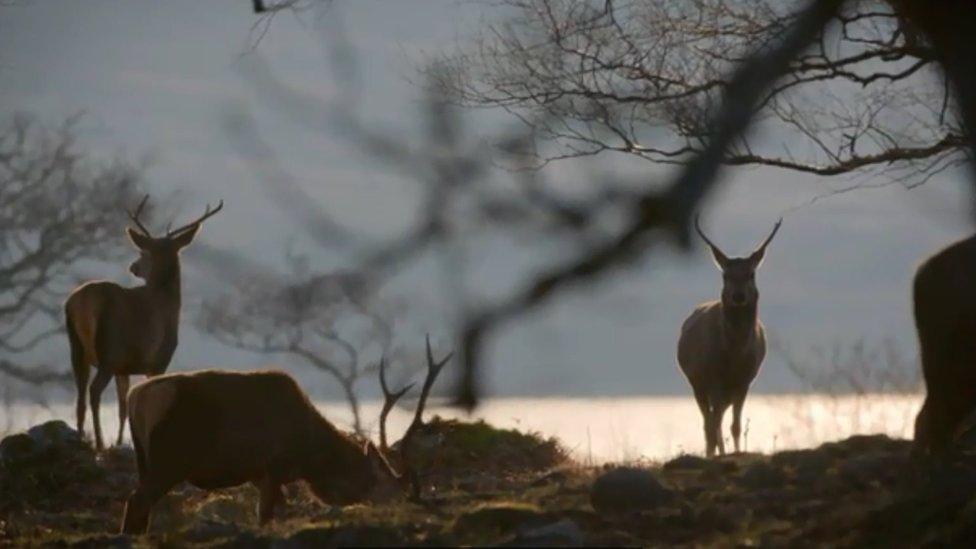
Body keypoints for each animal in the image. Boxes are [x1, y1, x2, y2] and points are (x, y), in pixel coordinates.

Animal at [66, 196, 222, 450]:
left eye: (144, 252)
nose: (133, 267)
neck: (168, 305)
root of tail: (83, 301)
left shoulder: (124, 367)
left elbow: (123, 407)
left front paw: (121, 442)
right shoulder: (159, 359)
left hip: (78, 347)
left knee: (80, 395)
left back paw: (81, 439)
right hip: (110, 348)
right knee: (94, 390)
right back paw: (99, 443)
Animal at [122, 334, 454, 532]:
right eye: (391, 490)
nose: (408, 510)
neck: (312, 455)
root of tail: (136, 397)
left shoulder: (260, 474)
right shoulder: (273, 466)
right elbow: (265, 517)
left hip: (143, 459)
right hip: (171, 460)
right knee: (137, 500)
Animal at [676, 216, 780, 456]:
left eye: (751, 274)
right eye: (725, 275)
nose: (738, 296)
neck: (734, 355)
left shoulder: (745, 381)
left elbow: (735, 425)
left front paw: (735, 452)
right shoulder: (713, 378)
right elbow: (715, 425)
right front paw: (719, 454)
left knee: (717, 419)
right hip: (696, 383)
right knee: (709, 422)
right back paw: (711, 452)